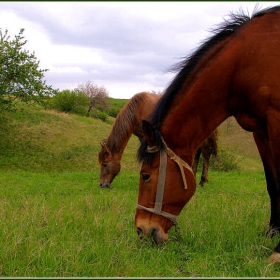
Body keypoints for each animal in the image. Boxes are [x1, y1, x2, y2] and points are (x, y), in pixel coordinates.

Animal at [135, 4, 280, 262]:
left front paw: (278, 250)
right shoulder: (261, 131)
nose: (141, 230)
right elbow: (272, 184)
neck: (247, 60)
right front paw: (272, 233)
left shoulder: (277, 120)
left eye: (146, 176)